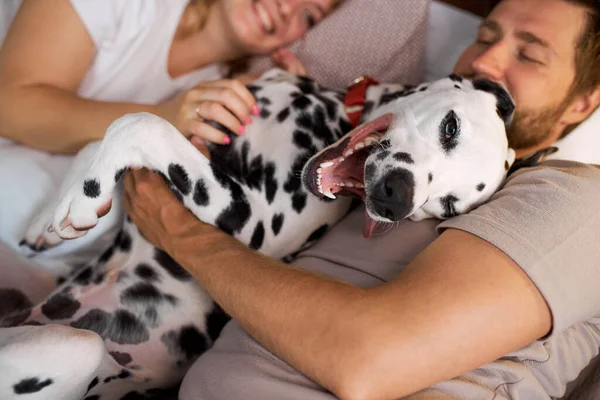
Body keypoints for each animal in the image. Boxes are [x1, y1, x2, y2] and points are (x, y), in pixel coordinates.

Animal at [0, 70, 516, 398]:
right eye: (450, 127)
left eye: (445, 206)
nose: (398, 199)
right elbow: (101, 138)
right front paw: (55, 215)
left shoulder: (247, 220)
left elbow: (141, 123)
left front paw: (84, 198)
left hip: (74, 347)